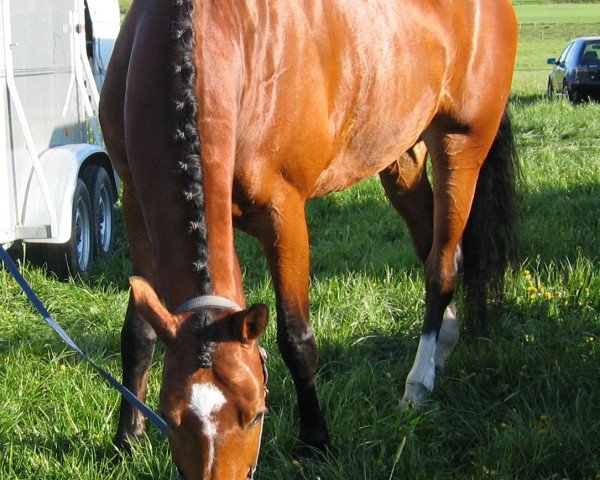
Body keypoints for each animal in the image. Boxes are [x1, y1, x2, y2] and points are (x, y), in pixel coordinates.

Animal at [99, 0, 520, 478]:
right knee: (434, 246)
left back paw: (417, 384)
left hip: (461, 147)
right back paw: (442, 346)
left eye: (256, 414)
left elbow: (296, 339)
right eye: (170, 416)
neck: (209, 35)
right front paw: (126, 439)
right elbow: (138, 333)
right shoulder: (136, 204)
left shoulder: (284, 214)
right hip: (403, 157)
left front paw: (316, 439)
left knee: (441, 269)